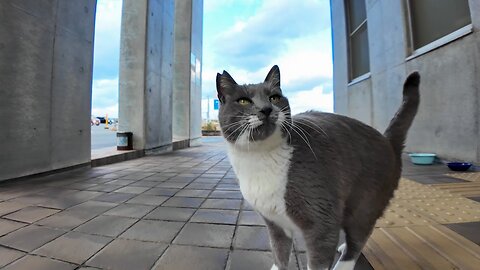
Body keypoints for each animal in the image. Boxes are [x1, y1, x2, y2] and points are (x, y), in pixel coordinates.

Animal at [216, 66, 418, 270]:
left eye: (274, 97)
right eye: (243, 101)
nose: (266, 109)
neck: (259, 158)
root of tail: (388, 141)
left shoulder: (322, 223)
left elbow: (318, 259)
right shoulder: (274, 223)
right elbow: (279, 253)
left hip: (365, 202)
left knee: (359, 237)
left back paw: (344, 262)